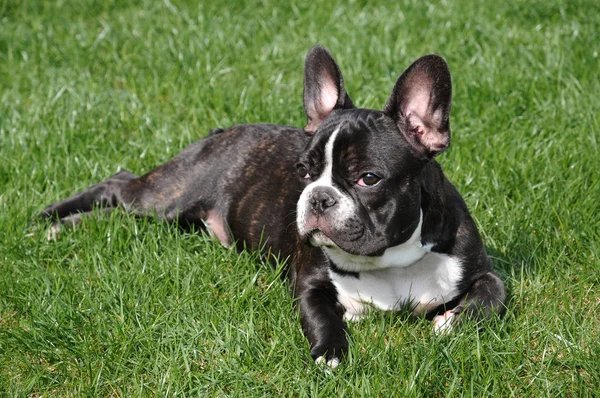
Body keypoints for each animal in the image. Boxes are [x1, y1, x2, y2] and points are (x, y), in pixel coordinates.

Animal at [39, 45, 504, 366]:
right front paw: (330, 353)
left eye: (368, 179)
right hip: (167, 197)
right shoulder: (309, 285)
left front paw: (451, 321)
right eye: (303, 170)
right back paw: (55, 220)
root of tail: (222, 131)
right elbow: (321, 316)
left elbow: (492, 297)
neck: (391, 262)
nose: (318, 196)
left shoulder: (480, 269)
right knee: (118, 185)